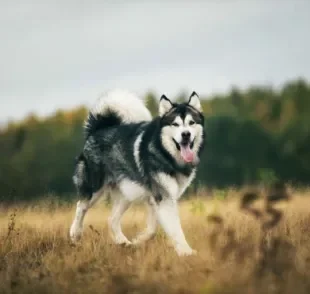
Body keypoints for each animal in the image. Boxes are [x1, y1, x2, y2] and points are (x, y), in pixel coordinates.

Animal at [70, 89, 206, 255]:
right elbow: (175, 229)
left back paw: (123, 242)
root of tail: (99, 128)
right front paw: (186, 252)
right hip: (95, 189)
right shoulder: (163, 198)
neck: (166, 154)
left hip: (127, 193)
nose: (185, 134)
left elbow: (153, 229)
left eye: (192, 123)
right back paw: (75, 234)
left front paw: (139, 240)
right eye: (175, 124)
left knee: (112, 219)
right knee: (81, 206)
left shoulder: (157, 198)